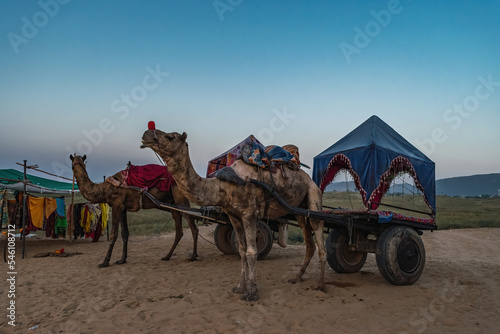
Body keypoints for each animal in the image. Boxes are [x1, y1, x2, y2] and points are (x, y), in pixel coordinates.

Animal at [70, 155, 199, 268]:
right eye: (73, 164)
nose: (75, 170)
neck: (106, 189)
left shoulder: (116, 205)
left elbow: (113, 234)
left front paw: (105, 262)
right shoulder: (123, 208)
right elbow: (125, 233)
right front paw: (122, 260)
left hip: (181, 200)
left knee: (193, 227)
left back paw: (193, 256)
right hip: (173, 204)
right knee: (179, 231)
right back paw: (167, 256)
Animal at [142, 129, 328, 302]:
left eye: (170, 137)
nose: (147, 134)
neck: (223, 186)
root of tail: (308, 177)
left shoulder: (249, 214)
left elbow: (251, 252)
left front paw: (252, 292)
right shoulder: (234, 217)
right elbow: (241, 250)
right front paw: (240, 287)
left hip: (313, 195)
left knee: (320, 239)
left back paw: (321, 285)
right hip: (299, 211)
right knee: (309, 243)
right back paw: (297, 277)